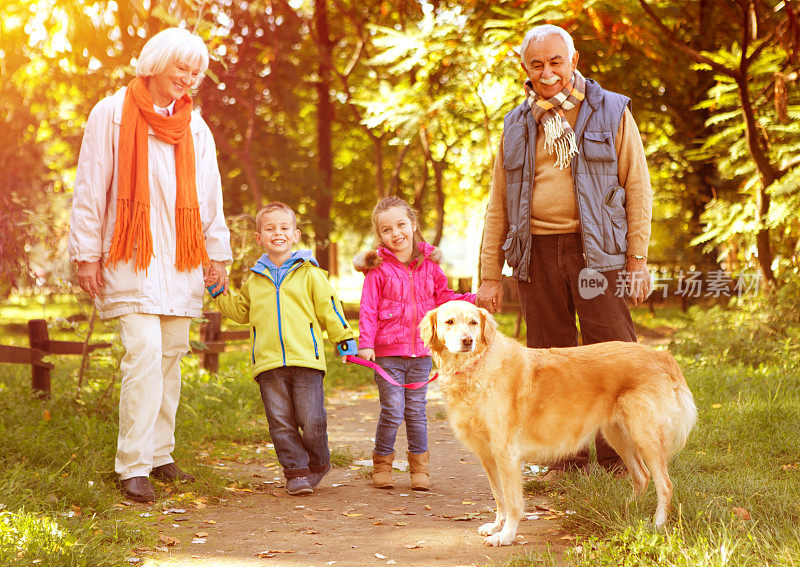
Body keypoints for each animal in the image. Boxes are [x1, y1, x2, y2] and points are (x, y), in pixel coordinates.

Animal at [422, 302, 696, 544]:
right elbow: (499, 496)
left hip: (644, 436)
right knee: (642, 477)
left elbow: (512, 501)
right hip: (618, 434)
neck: (475, 367)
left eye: (473, 323)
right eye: (449, 322)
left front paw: (507, 535)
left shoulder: (506, 452)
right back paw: (626, 510)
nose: (467, 341)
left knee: (665, 484)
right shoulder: (487, 455)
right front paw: (497, 526)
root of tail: (661, 355)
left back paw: (657, 524)